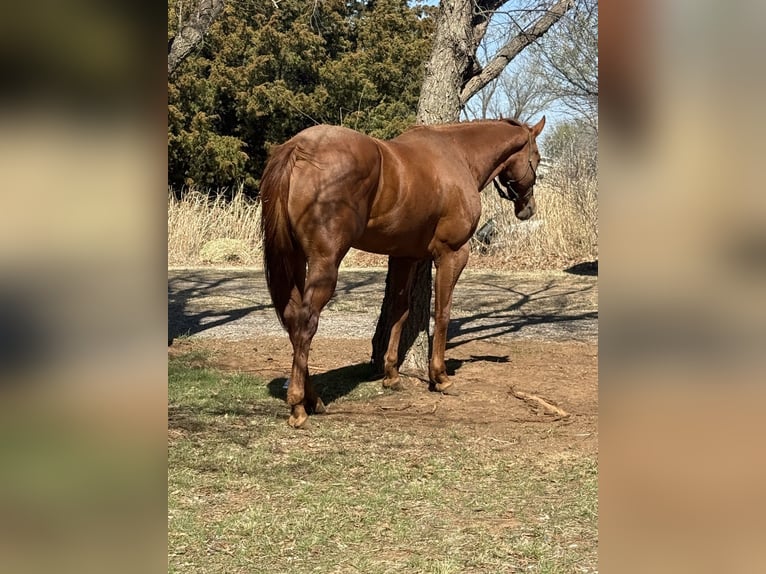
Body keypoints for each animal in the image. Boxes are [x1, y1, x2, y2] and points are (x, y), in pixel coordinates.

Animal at [260, 117, 546, 428]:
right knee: (306, 323)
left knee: (292, 319)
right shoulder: (453, 254)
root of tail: (299, 148)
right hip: (325, 262)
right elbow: (442, 313)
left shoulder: (403, 257)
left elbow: (400, 310)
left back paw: (314, 400)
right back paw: (299, 406)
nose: (528, 209)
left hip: (295, 259)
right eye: (536, 157)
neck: (458, 154)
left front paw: (392, 375)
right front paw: (440, 377)